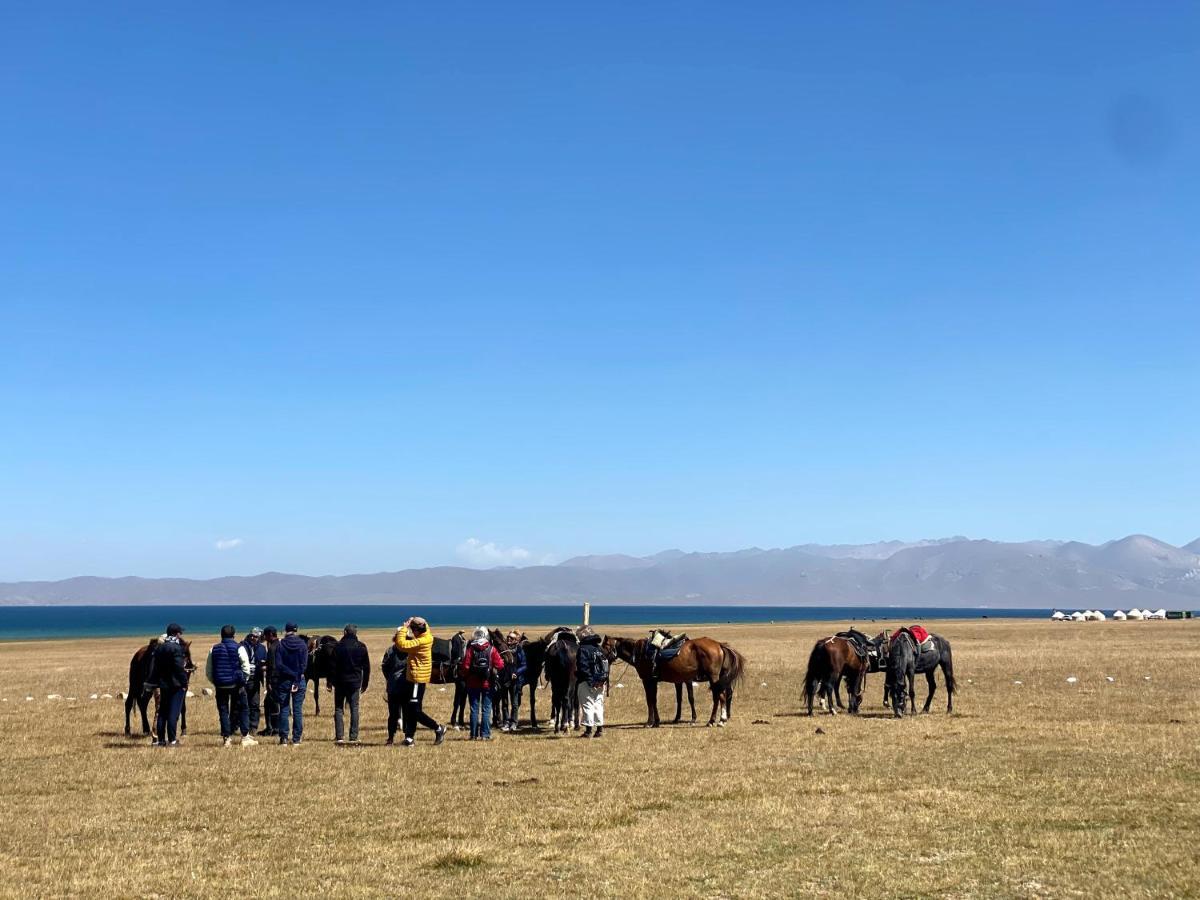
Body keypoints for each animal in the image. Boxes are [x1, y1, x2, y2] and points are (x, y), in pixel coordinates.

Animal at [597, 638, 739, 729]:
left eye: (604, 646)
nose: (600, 658)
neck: (640, 653)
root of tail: (718, 645)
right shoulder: (654, 681)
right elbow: (653, 700)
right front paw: (656, 722)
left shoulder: (648, 681)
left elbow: (650, 700)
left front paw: (650, 722)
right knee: (719, 697)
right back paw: (715, 720)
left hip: (713, 678)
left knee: (720, 697)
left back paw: (719, 721)